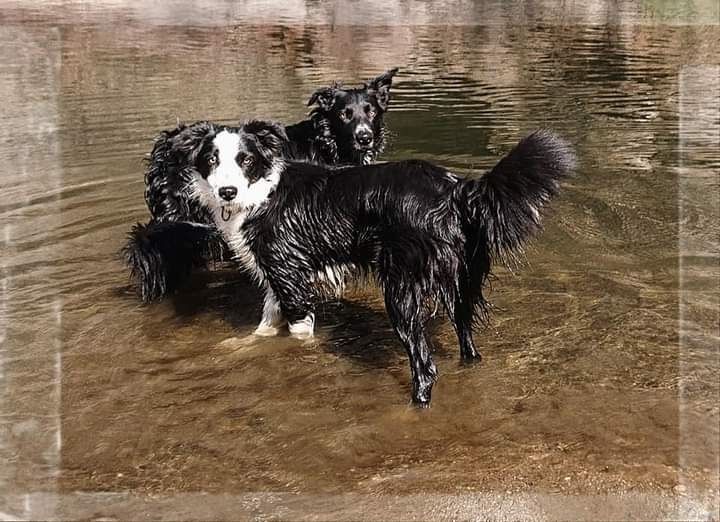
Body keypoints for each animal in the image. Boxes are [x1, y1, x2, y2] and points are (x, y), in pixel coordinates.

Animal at [134, 120, 572, 404]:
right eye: (210, 159)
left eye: (245, 159)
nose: (227, 192)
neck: (260, 193)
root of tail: (456, 189)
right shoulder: (279, 274)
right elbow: (266, 320)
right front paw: (245, 344)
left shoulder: (290, 275)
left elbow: (297, 330)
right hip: (460, 283)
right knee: (467, 340)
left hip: (401, 291)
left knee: (425, 366)